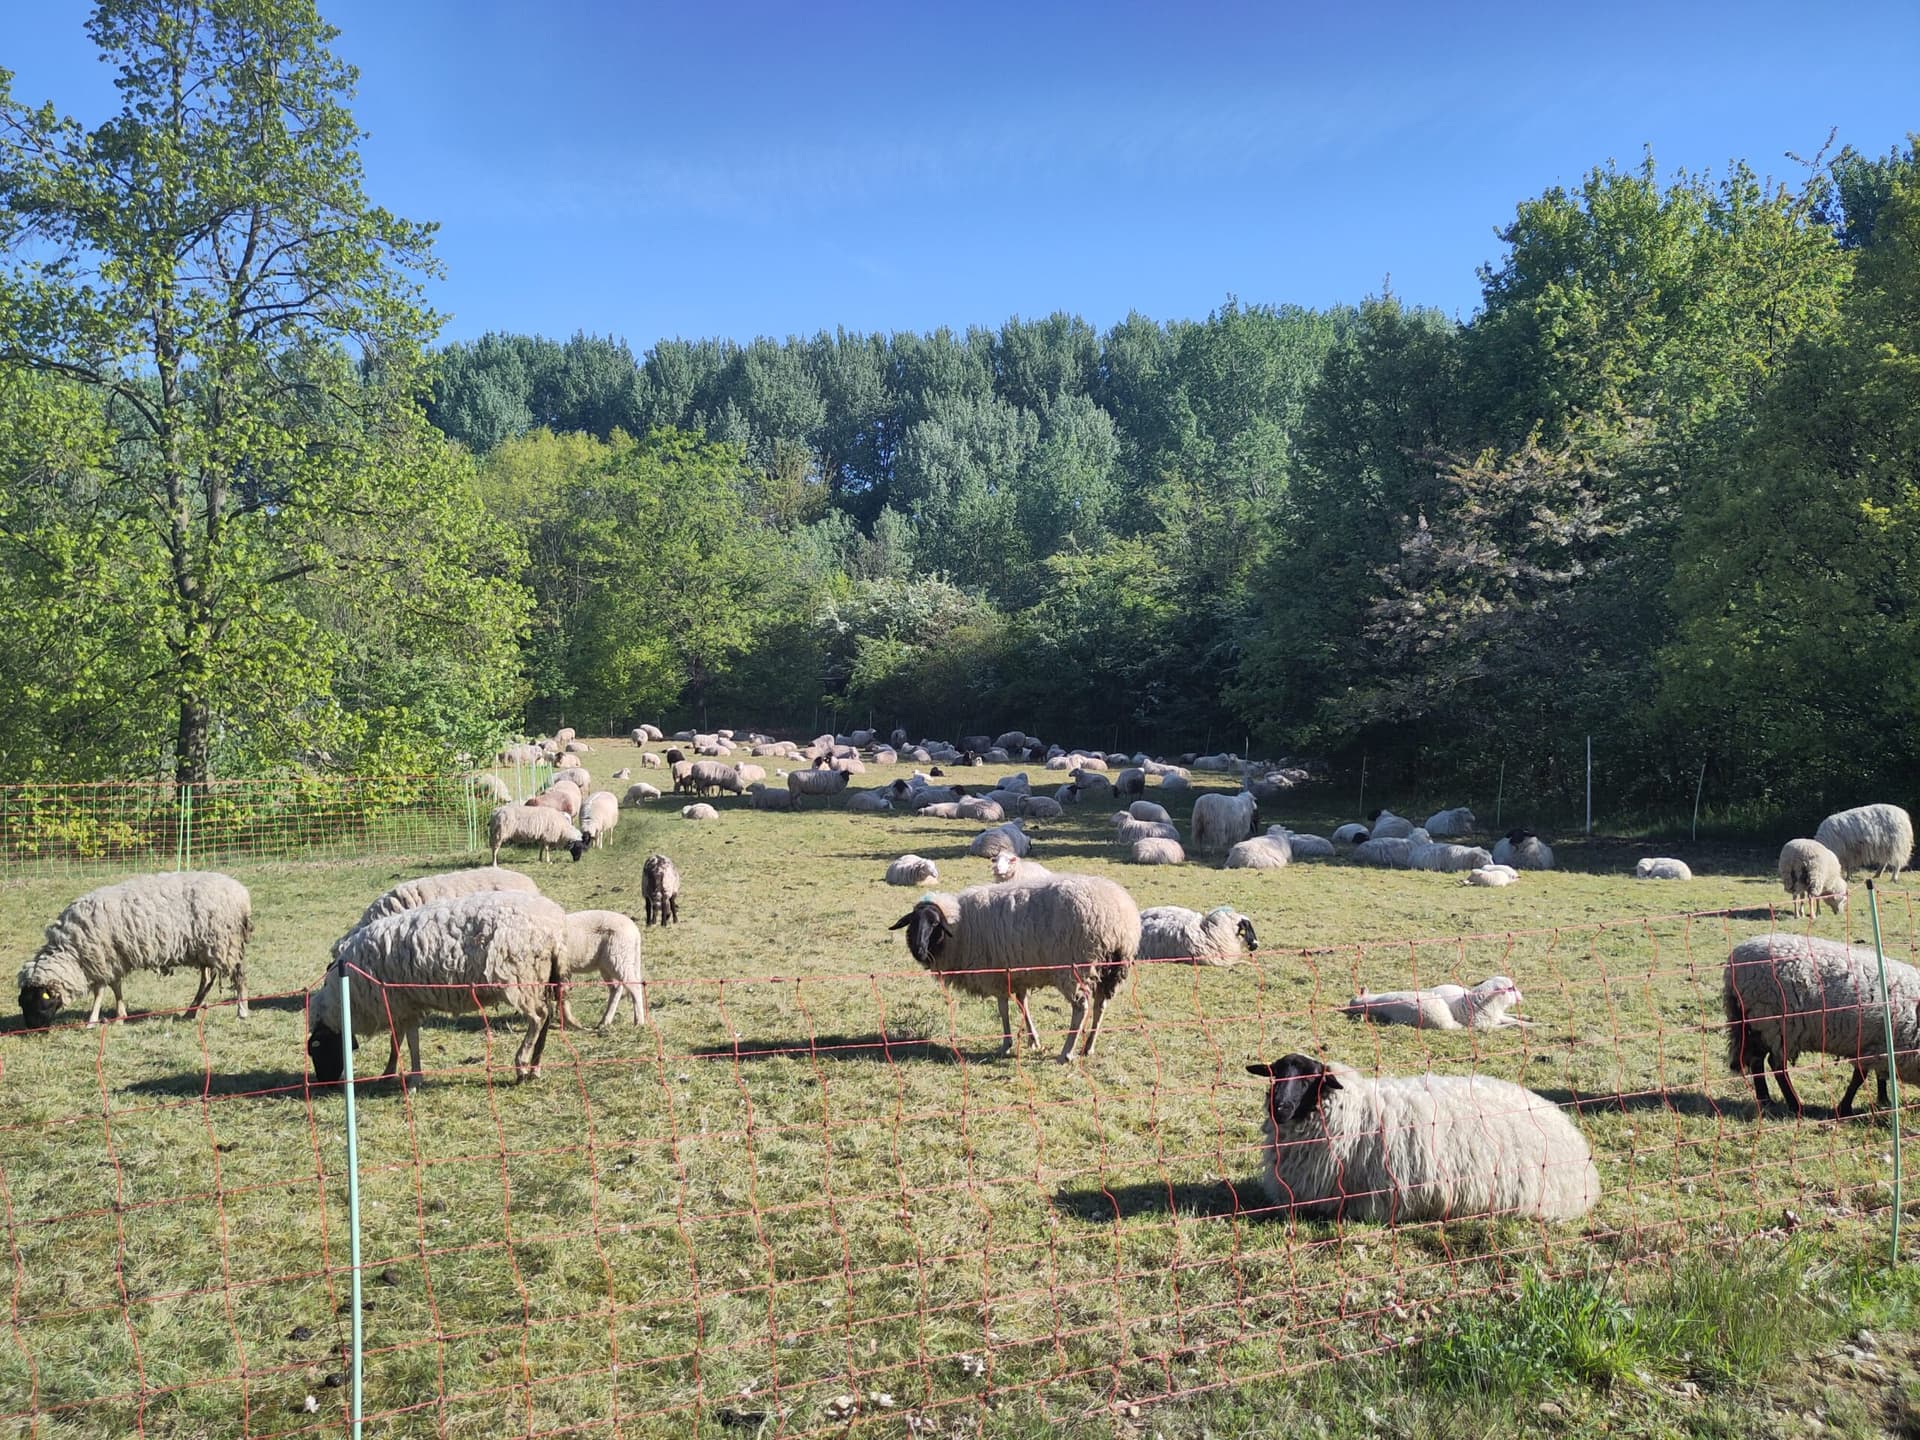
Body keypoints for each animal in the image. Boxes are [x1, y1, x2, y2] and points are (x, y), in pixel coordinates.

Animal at [16, 871, 252, 1028]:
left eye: (38, 1001)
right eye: (21, 1003)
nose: (32, 1029)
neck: (71, 951)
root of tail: (242, 893)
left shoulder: (101, 958)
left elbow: (100, 991)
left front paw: (92, 1021)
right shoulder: (113, 958)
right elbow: (116, 987)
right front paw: (120, 1015)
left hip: (224, 943)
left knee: (239, 976)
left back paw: (242, 1011)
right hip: (205, 948)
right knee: (207, 980)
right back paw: (189, 1013)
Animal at [307, 893, 568, 1085]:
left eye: (317, 1051)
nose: (325, 1084)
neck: (345, 999)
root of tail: (555, 930)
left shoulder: (398, 1002)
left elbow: (405, 1040)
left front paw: (410, 1079)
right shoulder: (404, 1004)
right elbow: (401, 1039)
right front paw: (393, 1073)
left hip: (520, 976)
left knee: (538, 1017)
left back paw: (521, 1065)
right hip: (540, 977)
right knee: (547, 1017)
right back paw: (535, 1067)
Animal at [888, 875, 1139, 1062]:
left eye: (934, 924)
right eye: (912, 923)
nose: (919, 950)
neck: (960, 929)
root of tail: (1119, 921)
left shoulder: (996, 974)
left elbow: (1003, 1009)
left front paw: (1006, 1044)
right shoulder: (1017, 973)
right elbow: (1023, 1004)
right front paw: (1033, 1040)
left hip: (1074, 967)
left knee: (1081, 1008)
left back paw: (1067, 1053)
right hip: (1112, 970)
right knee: (1100, 1006)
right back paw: (1088, 1047)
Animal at [1343, 976, 1525, 1030]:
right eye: (1511, 988)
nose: (1522, 996)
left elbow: (1512, 1019)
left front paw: (1528, 1021)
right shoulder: (1484, 1026)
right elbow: (1508, 1025)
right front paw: (1525, 1026)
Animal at [1724, 932, 1920, 1116]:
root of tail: (1734, 961)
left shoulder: (1878, 1047)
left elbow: (1879, 1076)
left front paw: (1884, 1101)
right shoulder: (1878, 1046)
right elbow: (1860, 1078)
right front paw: (1845, 1108)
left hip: (1758, 1023)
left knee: (1757, 1060)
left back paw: (1766, 1100)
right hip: (1775, 1022)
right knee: (1776, 1065)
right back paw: (1795, 1105)